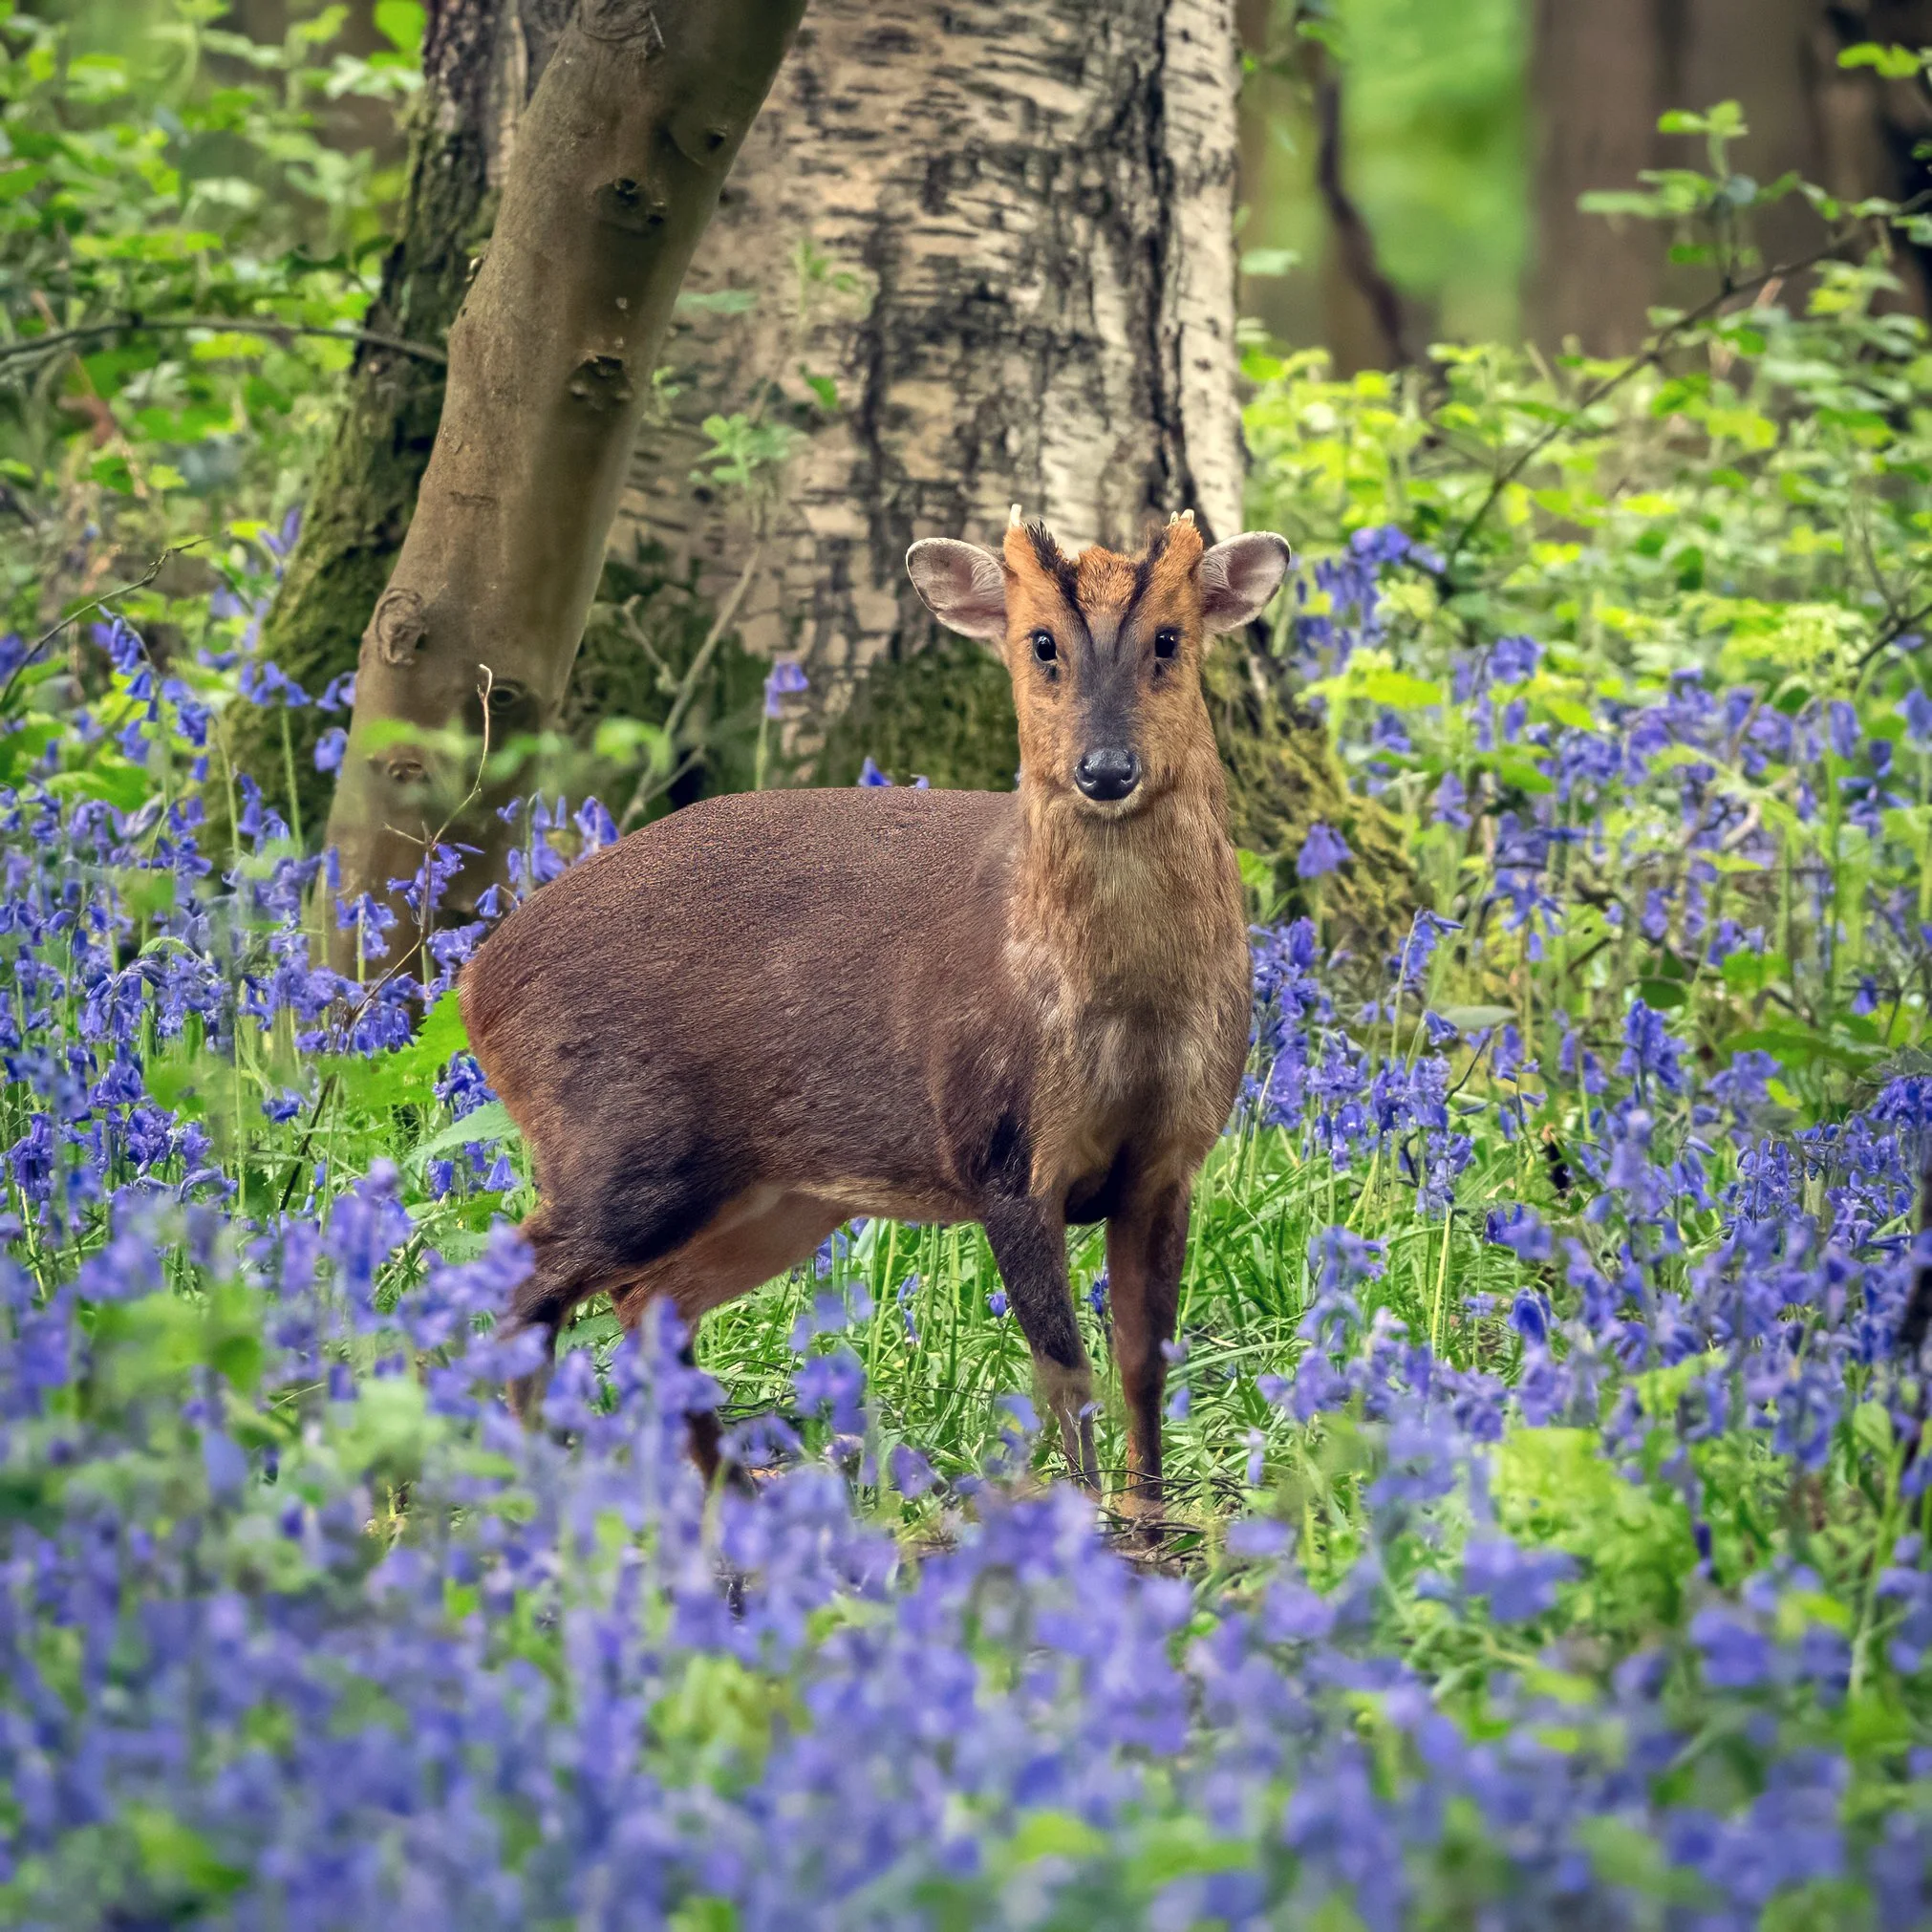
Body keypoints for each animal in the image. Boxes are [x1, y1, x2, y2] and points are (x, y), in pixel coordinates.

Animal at [459, 507, 1291, 1523]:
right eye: (1041, 642)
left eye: (1169, 640)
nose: (1104, 770)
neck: (1123, 1010)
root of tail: (475, 982)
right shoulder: (1002, 1148)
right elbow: (1065, 1368)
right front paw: (1083, 1521)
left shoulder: (1170, 1158)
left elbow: (1144, 1364)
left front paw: (1151, 1515)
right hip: (623, 1143)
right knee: (526, 1280)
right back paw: (539, 1477)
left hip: (776, 1194)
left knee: (648, 1305)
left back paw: (731, 1491)